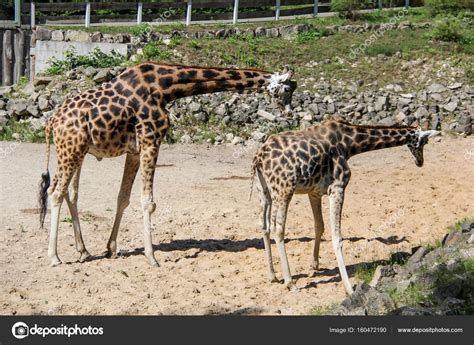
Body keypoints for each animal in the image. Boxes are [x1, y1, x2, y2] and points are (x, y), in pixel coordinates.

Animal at [39, 61, 296, 266]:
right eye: (287, 89)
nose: (291, 114)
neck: (166, 88)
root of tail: (51, 121)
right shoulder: (151, 139)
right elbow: (148, 202)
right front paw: (151, 257)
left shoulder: (135, 150)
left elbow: (123, 198)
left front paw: (111, 248)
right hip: (70, 150)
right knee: (56, 193)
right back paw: (54, 257)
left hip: (75, 152)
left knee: (67, 193)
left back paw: (83, 251)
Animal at [250, 117, 438, 292]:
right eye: (425, 142)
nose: (420, 162)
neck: (350, 143)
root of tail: (258, 158)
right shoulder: (338, 187)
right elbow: (337, 238)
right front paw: (349, 288)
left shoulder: (314, 191)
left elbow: (319, 226)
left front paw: (314, 265)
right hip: (283, 190)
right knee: (278, 229)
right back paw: (290, 282)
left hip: (264, 191)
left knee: (264, 225)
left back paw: (272, 275)